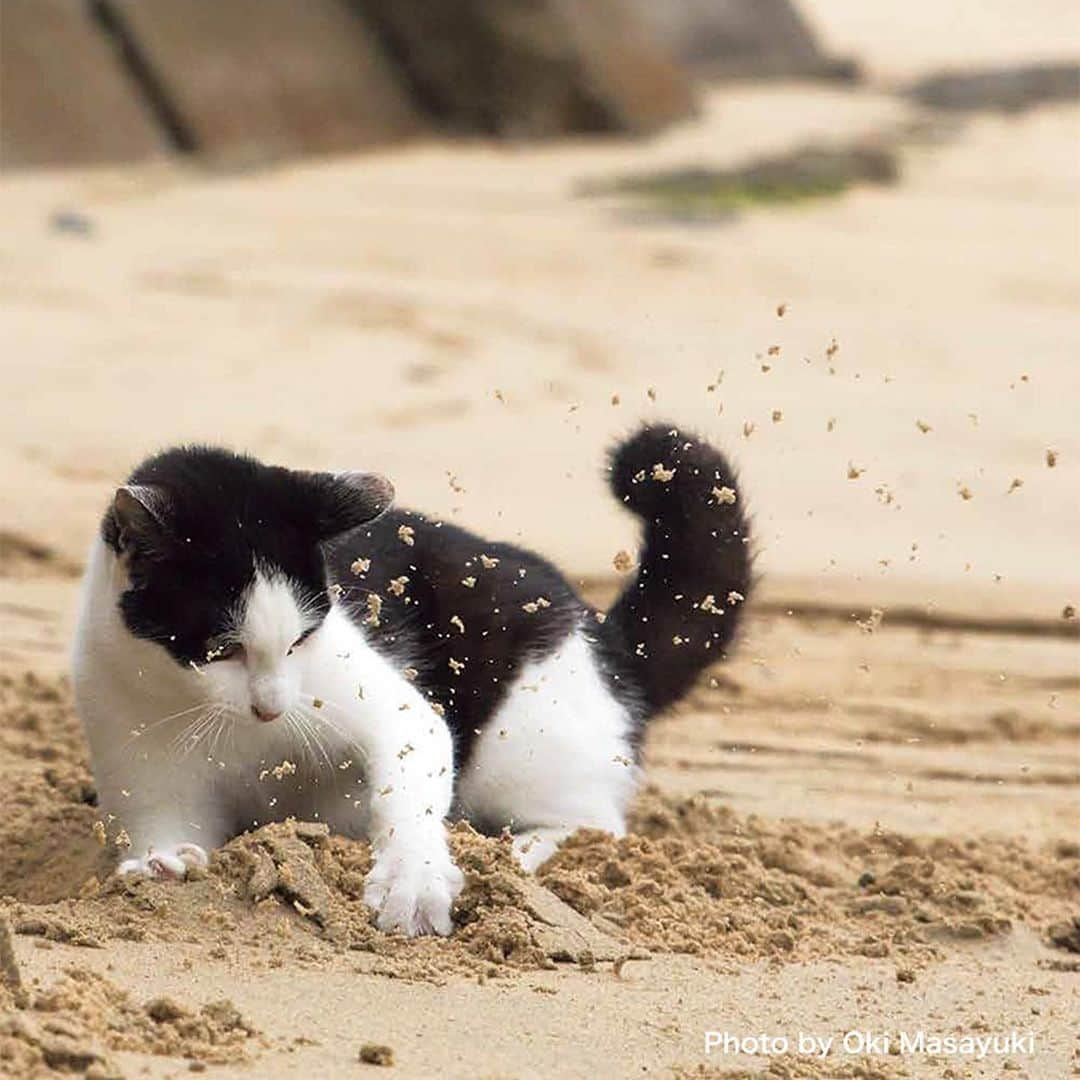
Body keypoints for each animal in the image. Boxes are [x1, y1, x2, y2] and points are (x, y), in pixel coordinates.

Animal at [71, 421, 751, 937]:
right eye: (221, 650)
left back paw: (517, 852)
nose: (273, 707)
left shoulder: (393, 710)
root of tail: (607, 640)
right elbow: (166, 829)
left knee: (594, 824)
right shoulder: (147, 774)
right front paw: (163, 866)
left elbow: (407, 788)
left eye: (302, 638)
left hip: (525, 740)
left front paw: (413, 882)